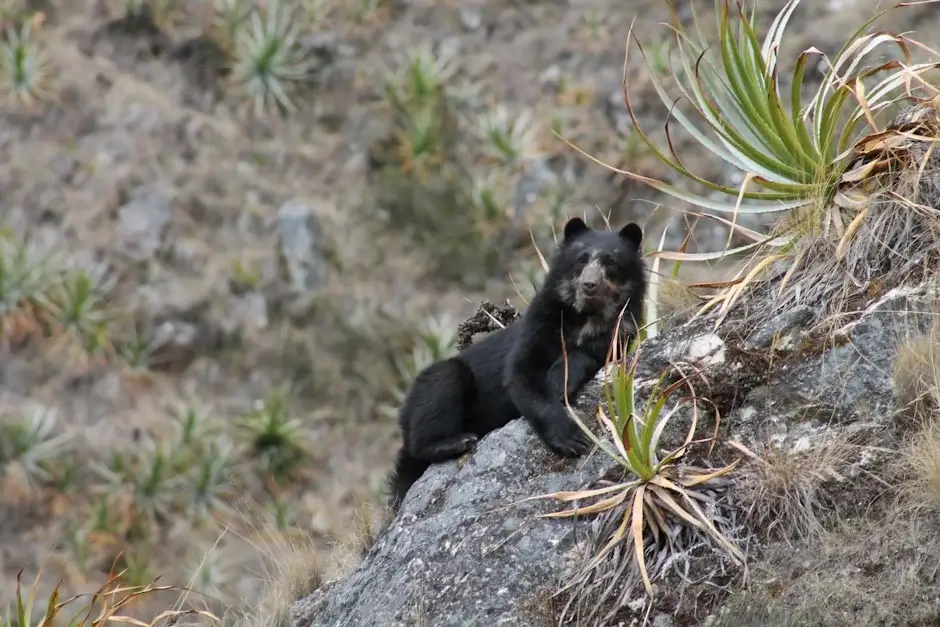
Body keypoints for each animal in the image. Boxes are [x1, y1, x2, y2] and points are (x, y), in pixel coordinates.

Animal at [388, 218, 648, 512]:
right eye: (581, 259)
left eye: (611, 262)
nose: (590, 284)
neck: (586, 317)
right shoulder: (539, 324)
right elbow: (521, 373)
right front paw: (571, 438)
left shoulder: (620, 332)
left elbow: (591, 356)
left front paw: (560, 380)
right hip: (430, 390)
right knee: (439, 394)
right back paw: (456, 441)